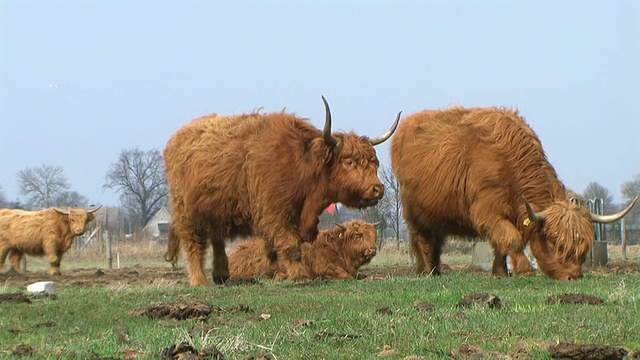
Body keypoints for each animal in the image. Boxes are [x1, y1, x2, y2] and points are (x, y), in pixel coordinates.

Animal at [390, 107, 636, 282]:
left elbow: (501, 244)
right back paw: (427, 271)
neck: (510, 164)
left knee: (436, 241)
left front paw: (500, 272)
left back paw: (435, 269)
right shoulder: (486, 210)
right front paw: (525, 270)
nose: (573, 276)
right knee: (420, 239)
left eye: (584, 246)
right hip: (413, 212)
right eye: (554, 240)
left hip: (437, 214)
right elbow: (512, 238)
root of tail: (407, 125)